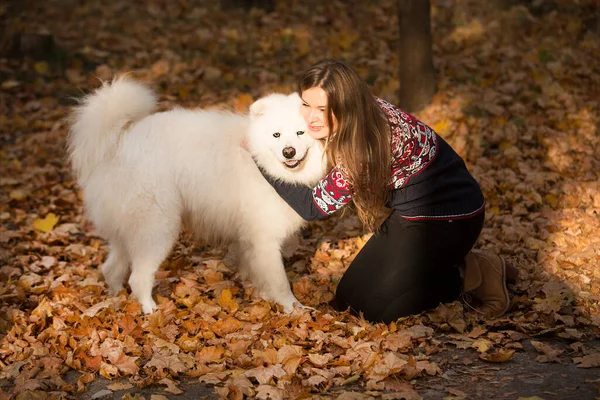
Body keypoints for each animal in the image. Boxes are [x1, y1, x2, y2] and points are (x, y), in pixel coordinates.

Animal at [68, 79, 326, 314]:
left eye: (301, 132)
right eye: (276, 135)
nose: (289, 152)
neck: (261, 161)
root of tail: (118, 143)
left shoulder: (251, 240)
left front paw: (263, 297)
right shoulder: (265, 239)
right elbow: (280, 282)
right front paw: (294, 309)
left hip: (127, 231)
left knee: (111, 268)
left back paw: (115, 300)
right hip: (156, 227)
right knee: (138, 277)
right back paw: (150, 310)